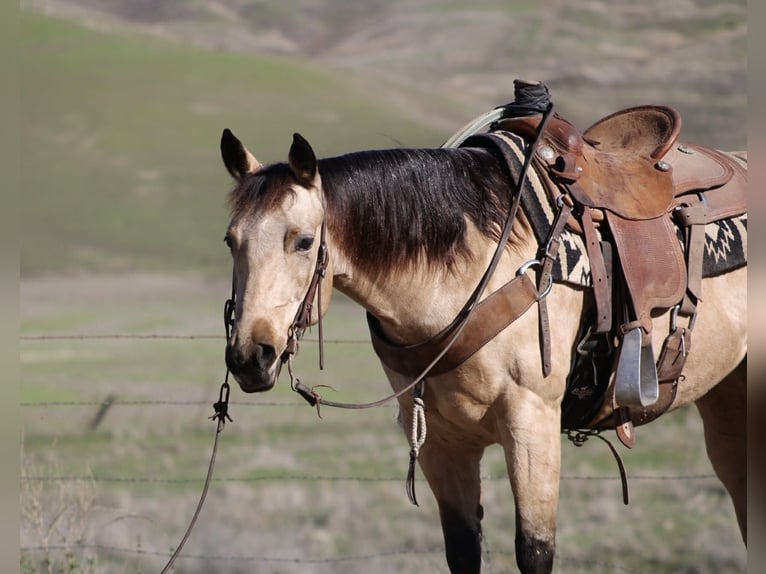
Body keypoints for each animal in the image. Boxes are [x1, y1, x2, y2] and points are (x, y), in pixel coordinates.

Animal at [217, 115, 747, 574]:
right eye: (229, 241)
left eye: (303, 241)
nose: (249, 356)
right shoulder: (439, 442)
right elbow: (463, 550)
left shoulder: (531, 425)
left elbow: (534, 551)